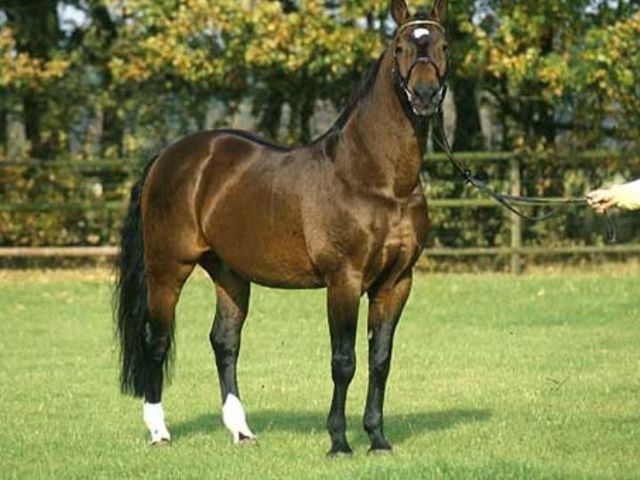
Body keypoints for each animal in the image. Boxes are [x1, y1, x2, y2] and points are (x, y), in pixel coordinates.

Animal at [115, 0, 450, 456]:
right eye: (400, 47)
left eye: (443, 46)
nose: (426, 96)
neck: (375, 178)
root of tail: (169, 157)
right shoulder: (343, 280)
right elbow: (344, 362)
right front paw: (339, 442)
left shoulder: (397, 282)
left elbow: (380, 360)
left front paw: (378, 438)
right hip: (168, 268)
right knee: (157, 341)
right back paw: (159, 432)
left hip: (229, 274)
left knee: (225, 342)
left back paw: (241, 431)